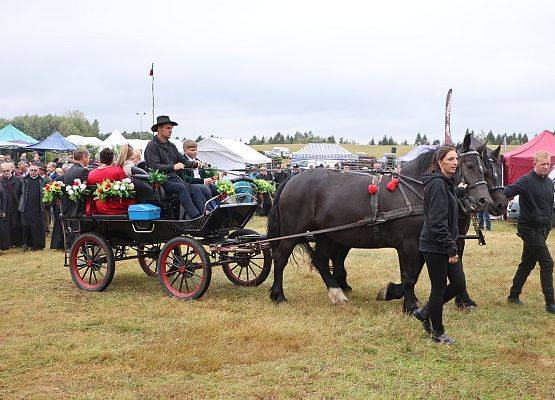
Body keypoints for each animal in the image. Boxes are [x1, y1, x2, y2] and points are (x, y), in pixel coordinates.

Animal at [268, 133, 490, 310]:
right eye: (468, 165)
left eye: (484, 169)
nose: (484, 200)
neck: (418, 189)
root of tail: (292, 179)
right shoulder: (408, 245)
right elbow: (409, 274)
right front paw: (409, 305)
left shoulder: (420, 244)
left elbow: (413, 273)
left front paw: (394, 293)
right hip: (293, 231)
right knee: (280, 258)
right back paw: (278, 295)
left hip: (327, 234)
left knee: (320, 260)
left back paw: (336, 292)